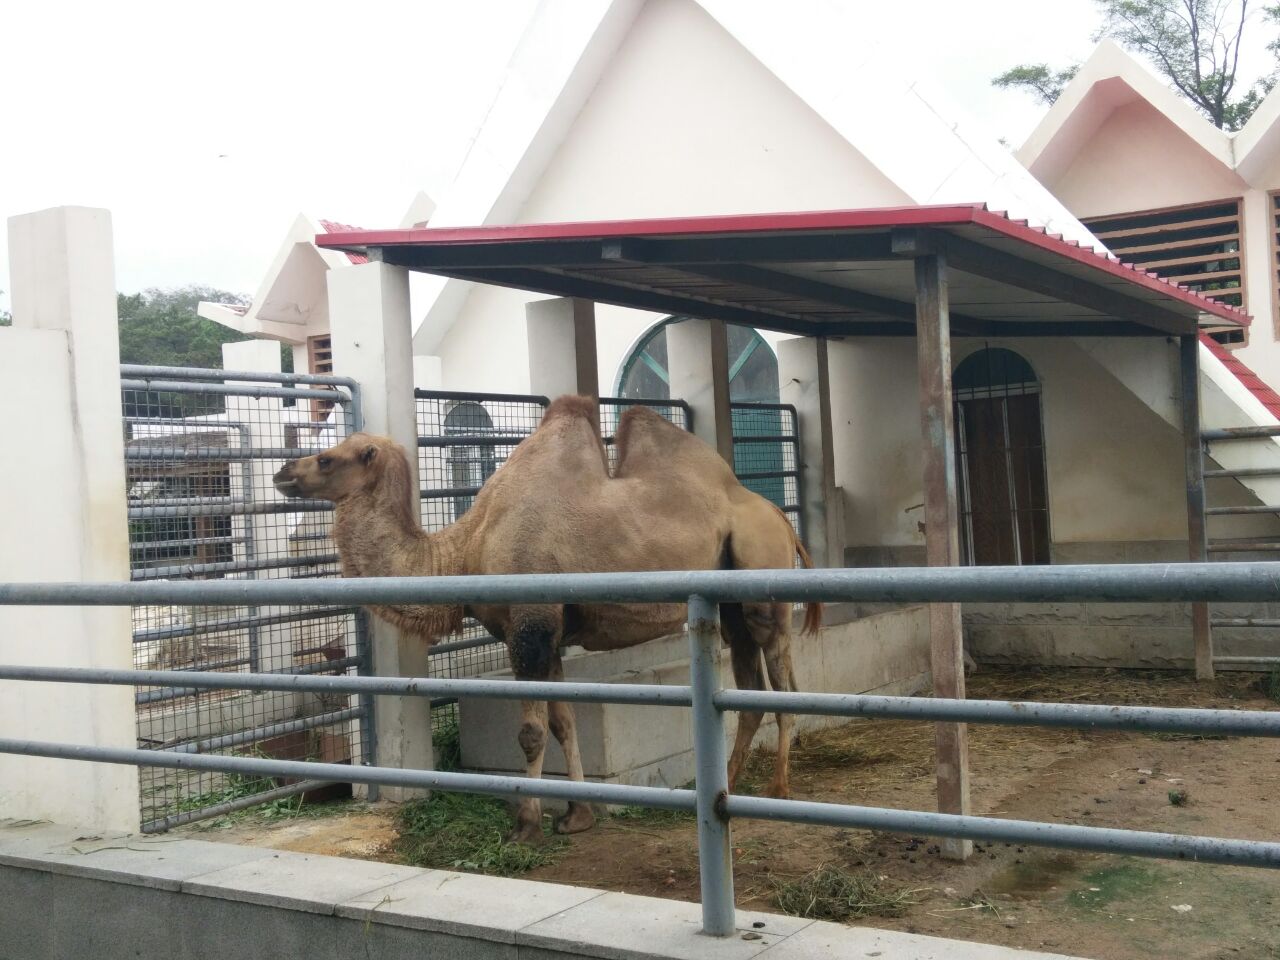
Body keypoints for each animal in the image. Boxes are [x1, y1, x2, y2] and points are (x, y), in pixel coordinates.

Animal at [275, 396, 824, 839]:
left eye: (328, 457)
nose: (283, 471)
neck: (466, 548)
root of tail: (780, 518)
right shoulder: (547, 630)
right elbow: (564, 723)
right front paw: (578, 815)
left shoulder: (530, 623)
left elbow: (532, 731)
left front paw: (527, 823)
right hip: (732, 604)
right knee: (749, 688)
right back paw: (731, 787)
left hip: (763, 584)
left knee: (783, 682)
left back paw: (778, 789)